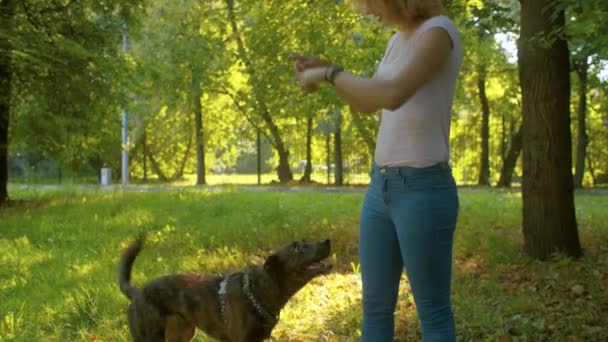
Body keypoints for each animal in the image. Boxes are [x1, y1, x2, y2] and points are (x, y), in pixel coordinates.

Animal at [116, 238, 330, 342]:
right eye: (297, 248)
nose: (327, 241)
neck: (258, 291)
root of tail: (137, 293)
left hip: (183, 335)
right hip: (150, 337)